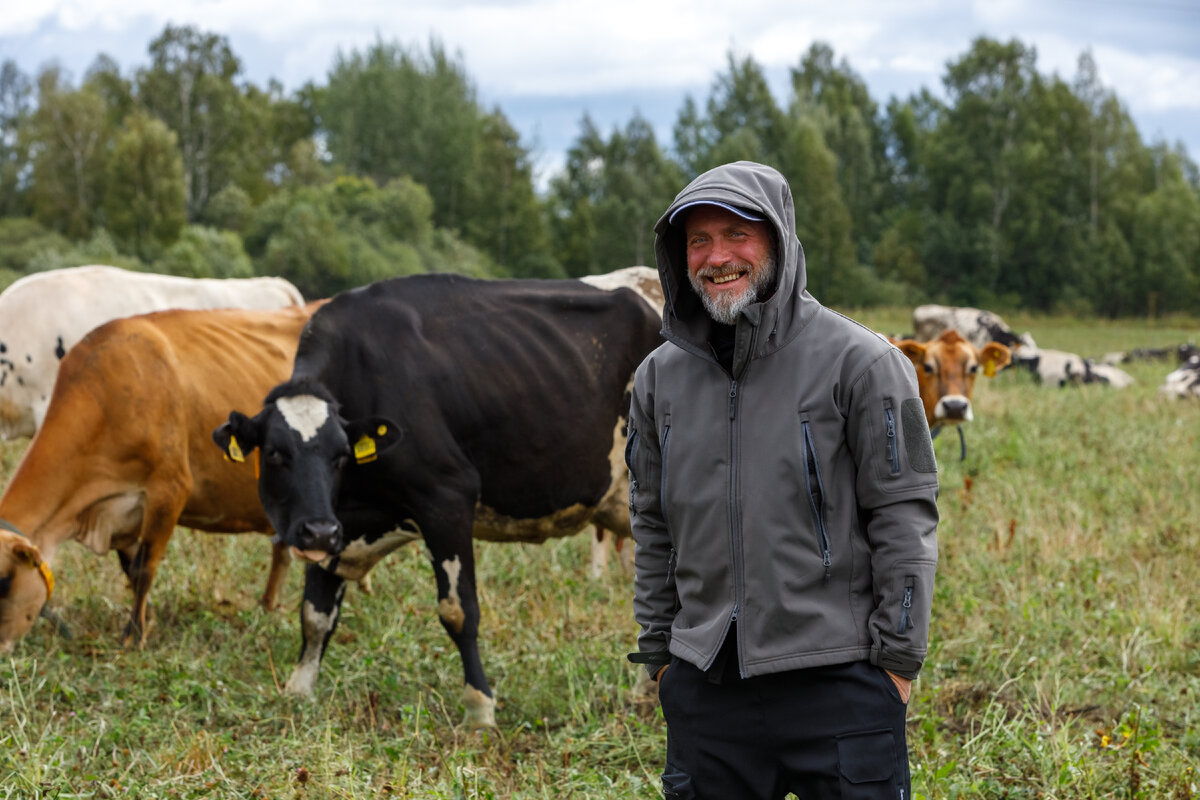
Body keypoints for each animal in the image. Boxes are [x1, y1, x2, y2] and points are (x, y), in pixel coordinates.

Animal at [0, 303, 324, 652]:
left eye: (4, 581)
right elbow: (130, 568)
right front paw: (148, 619)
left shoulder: (170, 489)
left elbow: (144, 568)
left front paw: (133, 636)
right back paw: (266, 607)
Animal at [216, 272, 667, 729]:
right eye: (275, 453)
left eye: (340, 454)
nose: (317, 531)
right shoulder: (337, 522)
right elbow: (315, 612)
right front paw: (299, 689)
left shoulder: (446, 499)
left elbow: (458, 611)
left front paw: (480, 709)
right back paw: (644, 695)